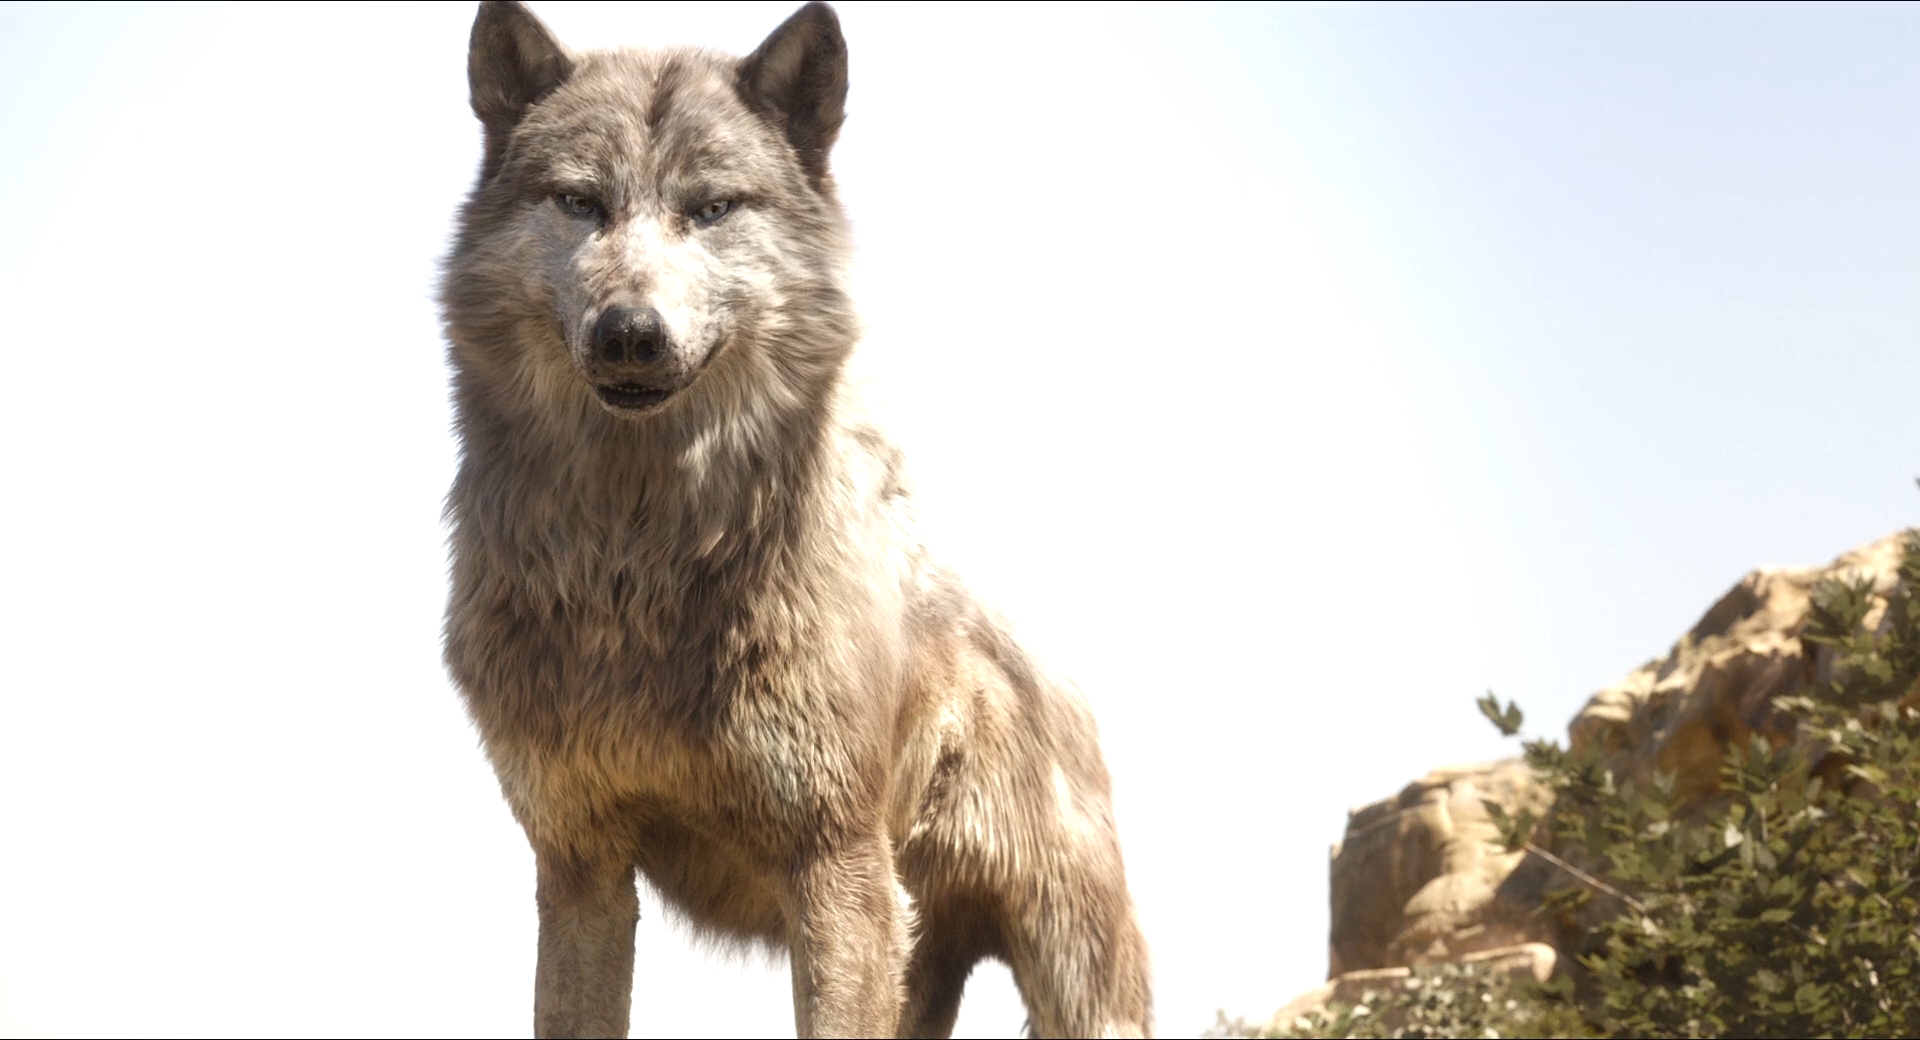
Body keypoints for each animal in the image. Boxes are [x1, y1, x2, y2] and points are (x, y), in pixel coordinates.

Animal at [439, 3, 1152, 1036]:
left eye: (712, 208)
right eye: (580, 202)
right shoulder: (579, 868)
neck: (638, 564)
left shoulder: (834, 864)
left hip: (1063, 978)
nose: (630, 333)